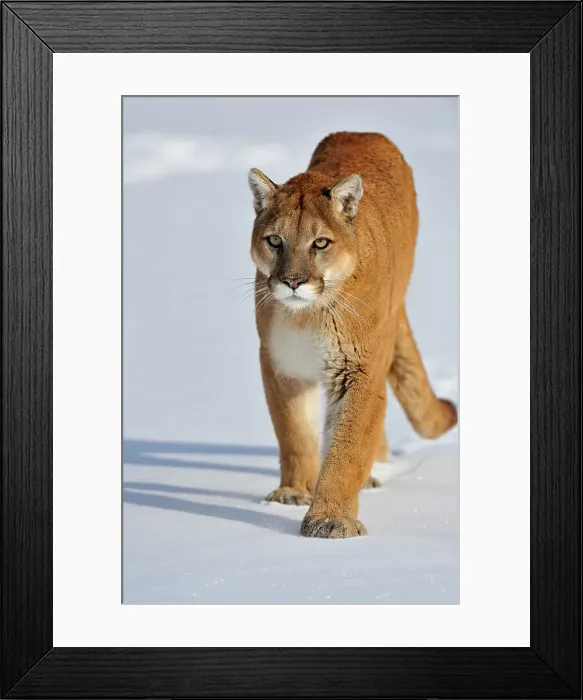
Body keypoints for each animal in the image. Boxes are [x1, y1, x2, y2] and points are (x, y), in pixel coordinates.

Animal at [247, 132, 457, 538]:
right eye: (275, 241)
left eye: (320, 243)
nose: (292, 281)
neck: (308, 316)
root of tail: (363, 133)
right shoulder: (281, 363)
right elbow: (294, 431)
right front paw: (293, 492)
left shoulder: (358, 369)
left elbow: (348, 446)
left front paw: (329, 518)